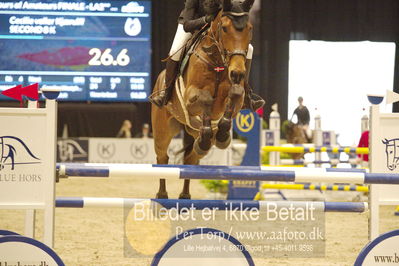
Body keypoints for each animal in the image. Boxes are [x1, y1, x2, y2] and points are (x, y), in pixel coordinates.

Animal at [152, 0, 255, 198]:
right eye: (224, 28)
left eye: (250, 28)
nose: (237, 73)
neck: (217, 61)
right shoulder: (190, 97)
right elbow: (206, 98)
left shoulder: (237, 98)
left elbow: (235, 94)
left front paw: (222, 135)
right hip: (162, 131)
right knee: (162, 158)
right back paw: (162, 195)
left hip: (191, 132)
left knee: (191, 159)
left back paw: (185, 193)